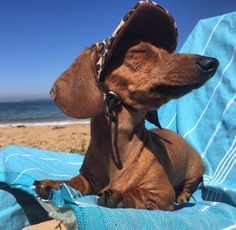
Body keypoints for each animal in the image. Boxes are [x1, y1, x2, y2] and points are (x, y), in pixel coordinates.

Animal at [33, 41, 219, 210]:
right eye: (140, 51)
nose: (212, 62)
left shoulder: (162, 193)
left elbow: (140, 194)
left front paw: (119, 196)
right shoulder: (87, 178)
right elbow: (72, 183)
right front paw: (53, 184)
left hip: (193, 172)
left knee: (188, 187)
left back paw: (182, 196)